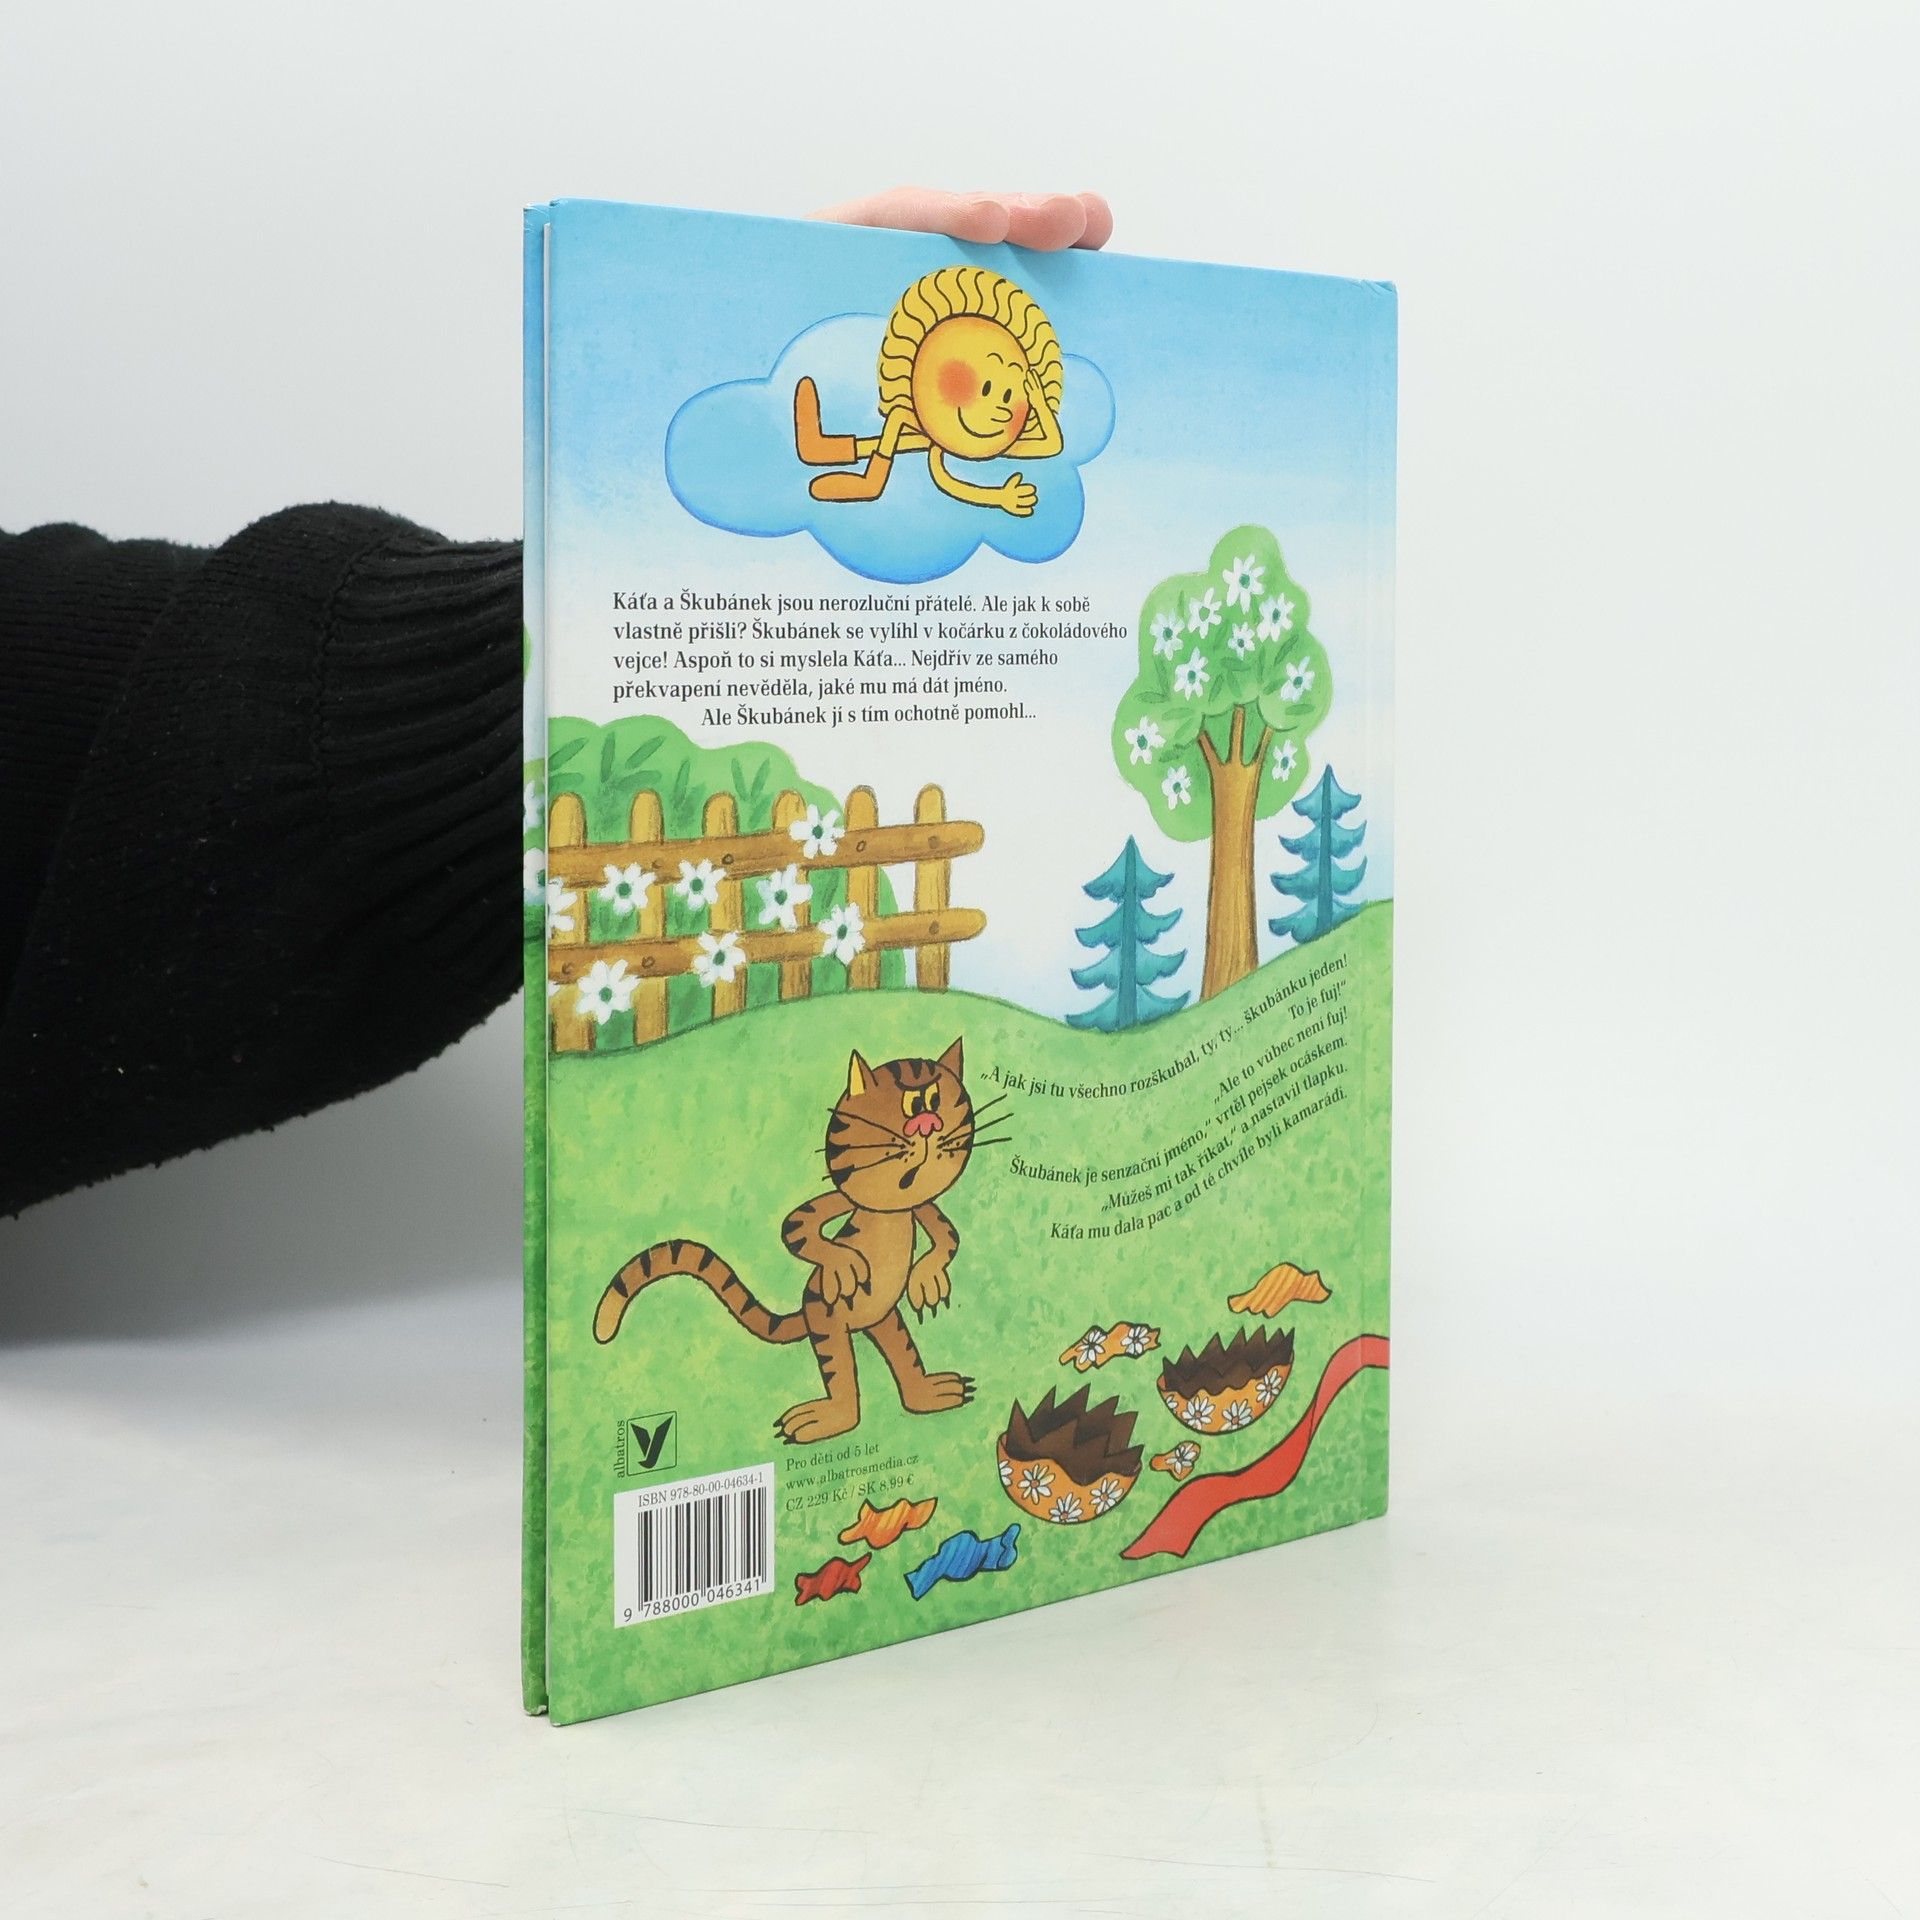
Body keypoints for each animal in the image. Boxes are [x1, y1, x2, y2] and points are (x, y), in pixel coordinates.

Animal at [593, 1038, 1003, 1445]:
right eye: (913, 1106)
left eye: (935, 1100)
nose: (928, 1125)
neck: (889, 1207)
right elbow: (797, 1227)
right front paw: (843, 1264)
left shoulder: (919, 1206)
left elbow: (948, 1235)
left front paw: (926, 1276)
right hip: (828, 1317)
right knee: (842, 1376)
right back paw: (830, 1418)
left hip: (885, 1319)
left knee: (902, 1352)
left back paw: (928, 1392)